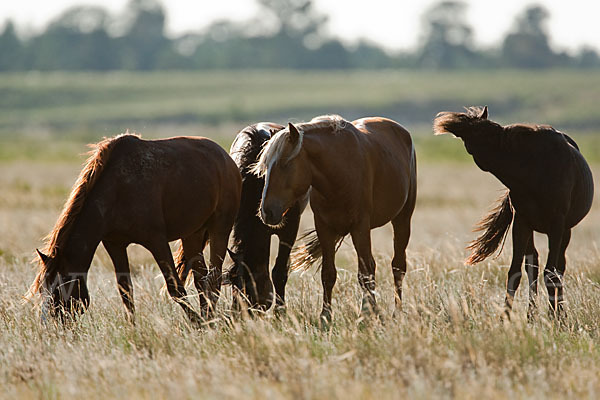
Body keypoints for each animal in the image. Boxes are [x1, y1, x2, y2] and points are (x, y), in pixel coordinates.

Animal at [25, 133, 241, 324]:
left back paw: (208, 320)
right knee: (201, 279)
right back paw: (209, 317)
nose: (50, 326)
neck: (117, 190)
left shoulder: (157, 241)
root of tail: (226, 159)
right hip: (192, 235)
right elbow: (126, 292)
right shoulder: (115, 245)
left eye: (58, 290)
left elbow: (174, 288)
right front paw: (133, 328)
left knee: (213, 279)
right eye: (42, 289)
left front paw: (196, 323)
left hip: (220, 229)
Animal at [226, 123, 308, 310]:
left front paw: (280, 311)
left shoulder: (289, 230)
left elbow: (280, 271)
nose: (238, 313)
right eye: (233, 285)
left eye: (249, 289)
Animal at [251, 115, 414, 322]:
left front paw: (367, 314)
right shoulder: (325, 229)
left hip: (402, 219)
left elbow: (365, 273)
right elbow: (328, 274)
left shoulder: (360, 227)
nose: (266, 212)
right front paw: (325, 316)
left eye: (284, 164)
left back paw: (397, 312)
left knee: (397, 267)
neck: (338, 174)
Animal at [436, 106, 596, 318]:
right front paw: (506, 317)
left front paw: (554, 318)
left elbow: (551, 272)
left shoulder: (557, 224)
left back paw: (558, 313)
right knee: (533, 265)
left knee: (559, 268)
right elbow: (515, 271)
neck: (532, 170)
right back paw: (531, 315)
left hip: (565, 231)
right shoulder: (521, 222)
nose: (451, 126)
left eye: (480, 132)